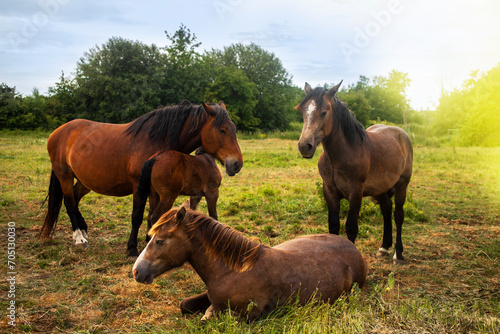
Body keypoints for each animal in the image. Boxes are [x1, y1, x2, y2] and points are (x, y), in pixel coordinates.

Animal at [40, 100, 243, 258]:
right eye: (222, 130)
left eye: (234, 129)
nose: (237, 164)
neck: (156, 139)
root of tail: (58, 132)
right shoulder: (139, 184)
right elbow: (137, 216)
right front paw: (131, 249)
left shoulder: (154, 190)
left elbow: (152, 214)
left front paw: (149, 239)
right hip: (64, 175)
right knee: (69, 203)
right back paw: (79, 238)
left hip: (84, 180)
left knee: (75, 198)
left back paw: (83, 229)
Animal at [133, 202, 368, 322]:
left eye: (160, 240)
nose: (136, 271)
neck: (233, 271)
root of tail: (354, 249)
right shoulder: (210, 296)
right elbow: (185, 305)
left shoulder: (240, 316)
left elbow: (207, 318)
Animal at [294, 81, 412, 264]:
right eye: (302, 111)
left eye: (324, 112)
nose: (305, 146)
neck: (342, 154)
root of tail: (402, 134)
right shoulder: (329, 191)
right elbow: (333, 226)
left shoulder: (355, 192)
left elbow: (351, 228)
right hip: (379, 189)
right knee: (386, 210)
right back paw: (384, 247)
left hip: (402, 185)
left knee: (398, 215)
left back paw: (398, 254)